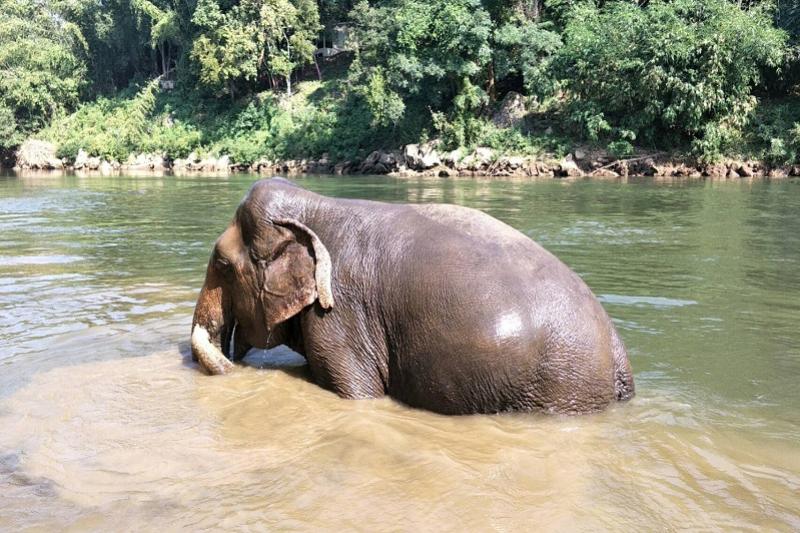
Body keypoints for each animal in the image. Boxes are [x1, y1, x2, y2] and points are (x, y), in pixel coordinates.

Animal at [191, 177, 635, 415]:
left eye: (222, 265)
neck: (313, 205)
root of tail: (619, 360)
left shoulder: (340, 318)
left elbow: (358, 393)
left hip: (559, 389)